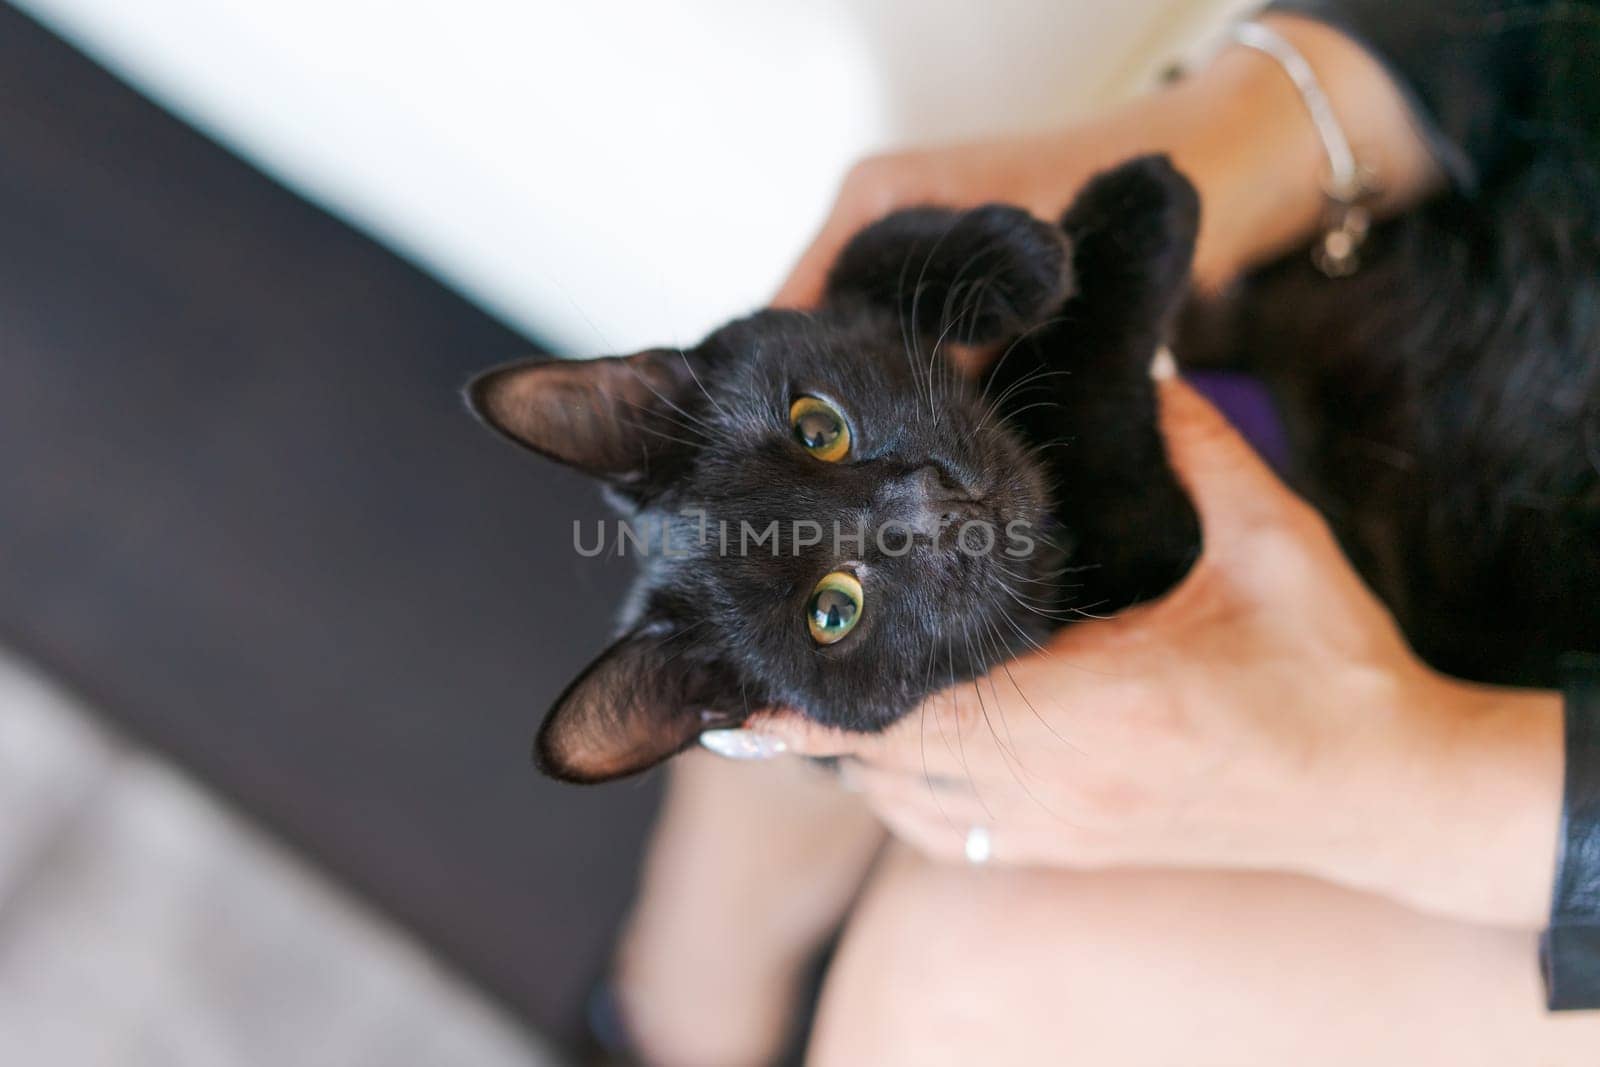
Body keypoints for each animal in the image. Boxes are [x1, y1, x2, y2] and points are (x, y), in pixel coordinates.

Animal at [470, 154, 1203, 780]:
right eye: (832, 612)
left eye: (818, 428)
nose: (936, 506)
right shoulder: (1146, 537)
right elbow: (1090, 393)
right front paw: (1142, 216)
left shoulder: (832, 284)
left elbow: (870, 248)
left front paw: (1025, 252)